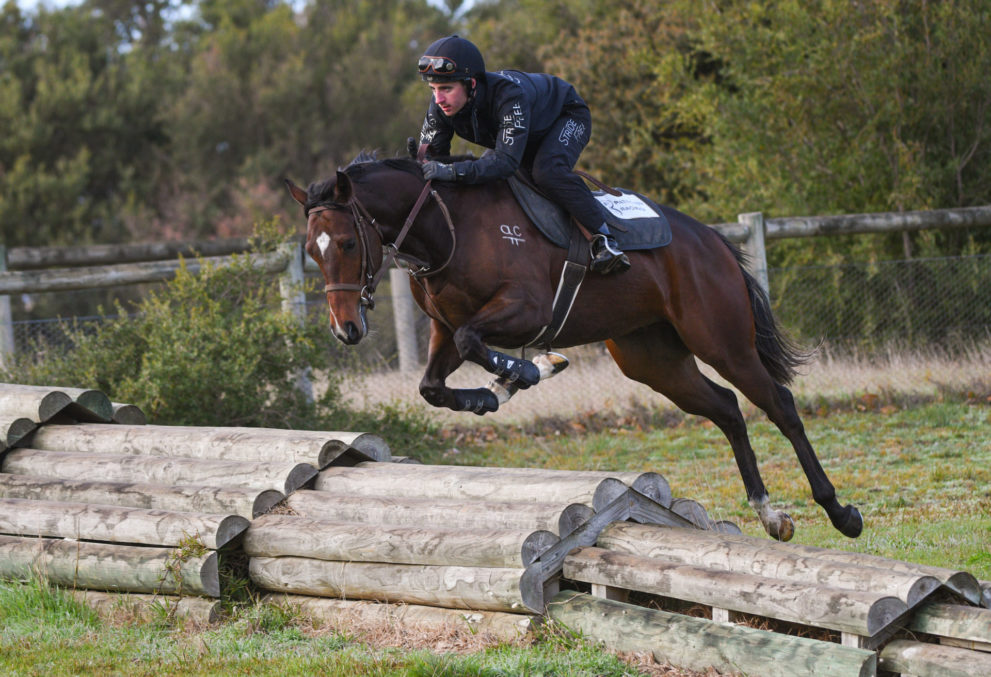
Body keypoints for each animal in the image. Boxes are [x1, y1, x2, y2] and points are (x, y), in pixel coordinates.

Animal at [286, 152, 863, 542]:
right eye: (311, 252)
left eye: (347, 242)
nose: (346, 330)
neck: (444, 228)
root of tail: (712, 241)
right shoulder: (443, 331)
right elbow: (433, 386)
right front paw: (493, 392)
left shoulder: (524, 310)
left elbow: (480, 344)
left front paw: (531, 370)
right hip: (652, 360)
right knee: (726, 408)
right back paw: (769, 514)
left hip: (724, 342)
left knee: (779, 405)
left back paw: (840, 513)